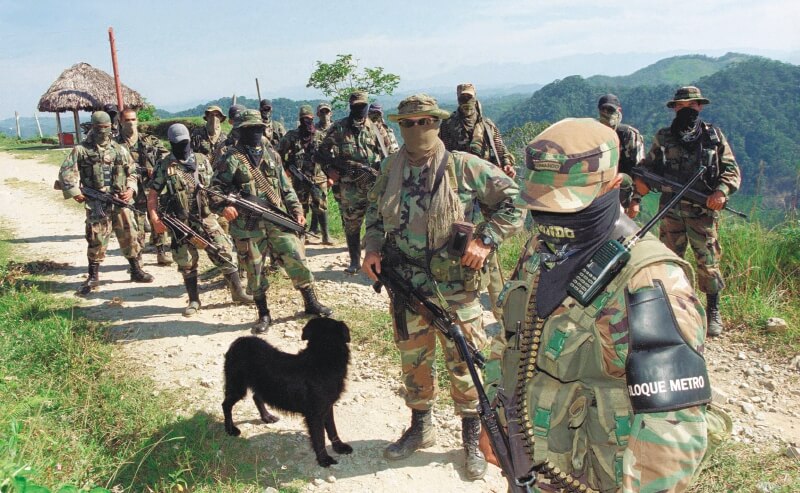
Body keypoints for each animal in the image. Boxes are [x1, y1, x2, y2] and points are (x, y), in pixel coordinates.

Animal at [222, 316, 354, 466]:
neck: (322, 358)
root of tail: (240, 340)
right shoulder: (314, 414)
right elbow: (319, 438)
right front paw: (324, 459)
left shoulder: (327, 407)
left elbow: (332, 429)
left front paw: (339, 447)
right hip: (237, 386)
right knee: (226, 405)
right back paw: (230, 429)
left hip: (262, 385)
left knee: (256, 397)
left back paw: (267, 417)